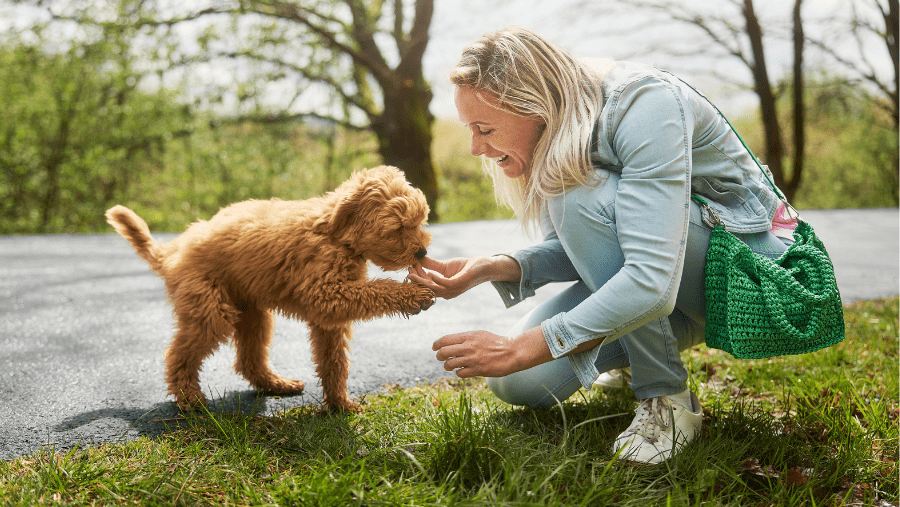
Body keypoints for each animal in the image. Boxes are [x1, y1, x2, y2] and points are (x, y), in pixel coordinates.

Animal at [105, 167, 436, 412]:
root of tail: (171, 252)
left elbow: (334, 361)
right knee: (178, 354)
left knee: (248, 359)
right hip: (211, 311)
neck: (336, 234)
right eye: (398, 228)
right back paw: (189, 397)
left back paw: (277, 384)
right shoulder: (326, 294)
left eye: (420, 221)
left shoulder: (329, 317)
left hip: (251, 312)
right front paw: (414, 296)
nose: (422, 252)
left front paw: (340, 405)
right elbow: (379, 289)